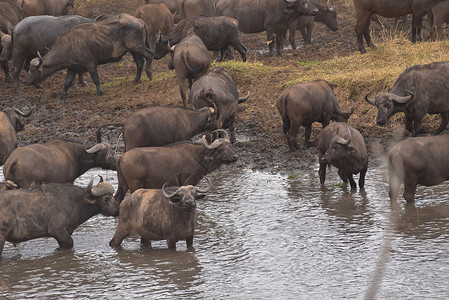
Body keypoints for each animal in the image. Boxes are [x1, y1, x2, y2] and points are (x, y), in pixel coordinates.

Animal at [23, 13, 154, 98]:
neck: (69, 45)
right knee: (139, 62)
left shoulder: (90, 63)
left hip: (137, 47)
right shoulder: (72, 68)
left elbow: (95, 78)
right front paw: (61, 96)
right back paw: (135, 80)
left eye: (32, 70)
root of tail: (139, 21)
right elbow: (67, 82)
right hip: (133, 50)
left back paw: (149, 74)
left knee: (149, 54)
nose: (25, 81)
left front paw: (99, 92)